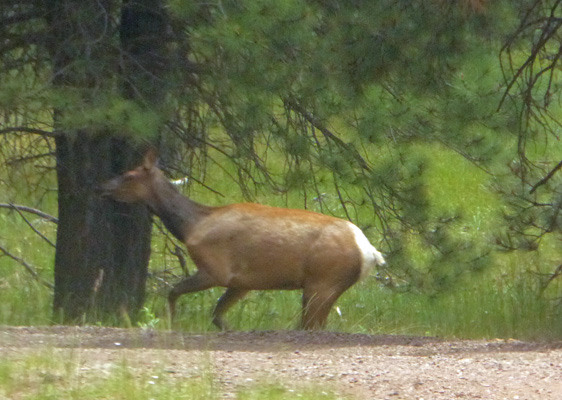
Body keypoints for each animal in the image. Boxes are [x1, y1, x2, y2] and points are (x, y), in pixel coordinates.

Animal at [98, 152, 382, 330]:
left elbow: (173, 292)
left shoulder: (216, 269)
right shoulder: (242, 283)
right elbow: (216, 315)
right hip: (326, 286)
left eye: (129, 175)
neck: (191, 225)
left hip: (321, 282)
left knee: (312, 326)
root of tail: (369, 252)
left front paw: (170, 322)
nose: (102, 188)